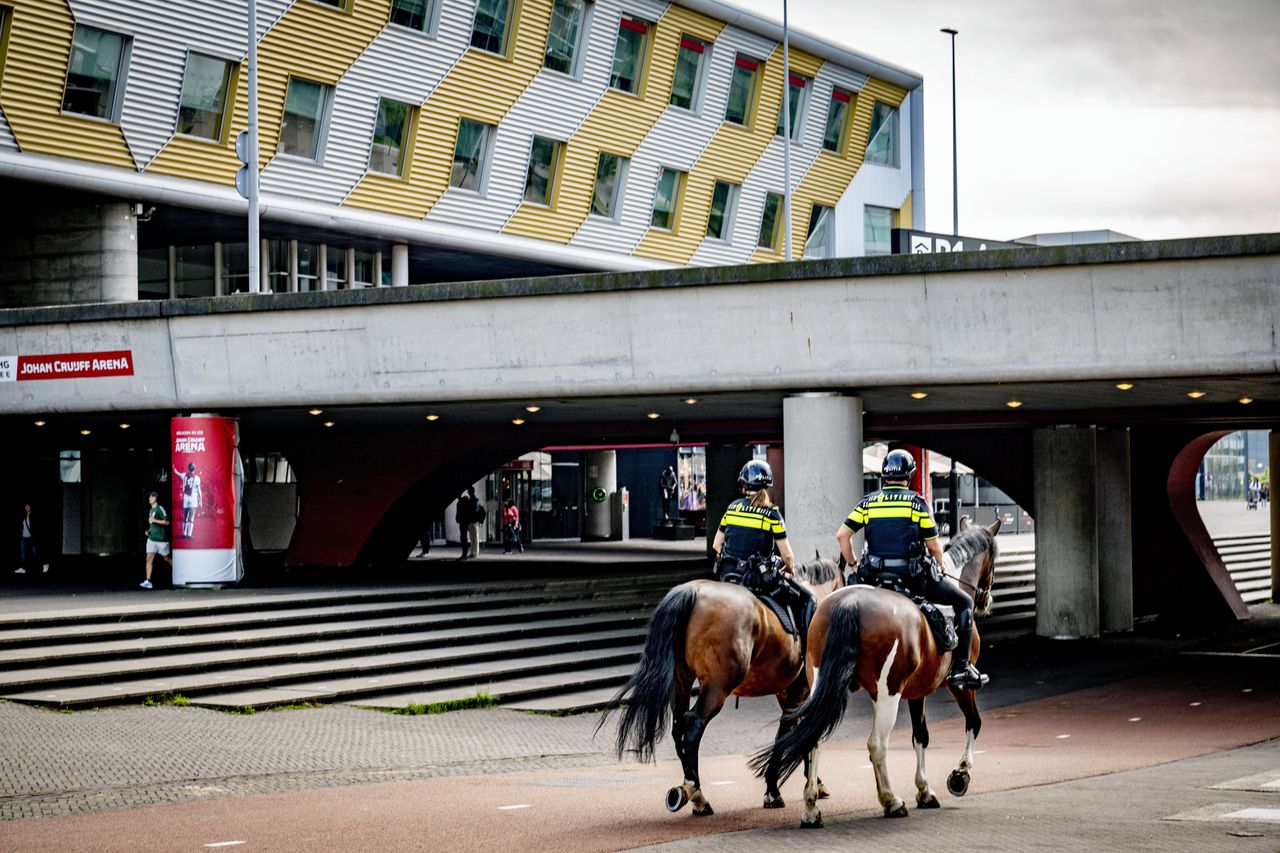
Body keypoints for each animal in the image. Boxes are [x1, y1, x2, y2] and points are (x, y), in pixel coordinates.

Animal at [596, 555, 844, 814]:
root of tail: (692, 591)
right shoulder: (799, 691)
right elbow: (793, 733)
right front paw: (774, 790)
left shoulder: (787, 693)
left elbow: (797, 733)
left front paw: (810, 783)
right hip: (717, 687)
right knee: (693, 724)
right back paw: (696, 793)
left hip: (681, 681)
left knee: (678, 726)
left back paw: (691, 791)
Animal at [747, 517, 998, 824]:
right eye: (993, 560)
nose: (986, 600)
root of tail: (850, 603)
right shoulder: (956, 686)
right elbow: (973, 722)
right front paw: (959, 775)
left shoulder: (917, 691)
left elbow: (921, 736)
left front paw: (925, 791)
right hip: (887, 694)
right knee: (876, 745)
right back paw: (891, 800)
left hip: (820, 686)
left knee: (813, 738)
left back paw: (810, 807)